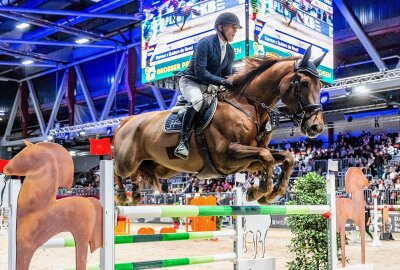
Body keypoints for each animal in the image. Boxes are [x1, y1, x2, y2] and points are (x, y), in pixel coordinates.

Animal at [3, 141, 103, 270]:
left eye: (25, 156)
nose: (5, 169)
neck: (34, 207)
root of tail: (90, 201)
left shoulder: (25, 246)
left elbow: (22, 263)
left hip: (82, 237)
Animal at [112, 46, 324, 206]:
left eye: (320, 85)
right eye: (304, 83)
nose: (316, 127)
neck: (248, 107)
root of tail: (126, 122)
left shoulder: (249, 160)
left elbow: (285, 157)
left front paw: (265, 192)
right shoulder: (227, 155)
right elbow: (267, 157)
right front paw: (262, 190)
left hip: (162, 167)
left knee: (137, 174)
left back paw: (135, 195)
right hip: (127, 161)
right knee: (116, 170)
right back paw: (122, 196)